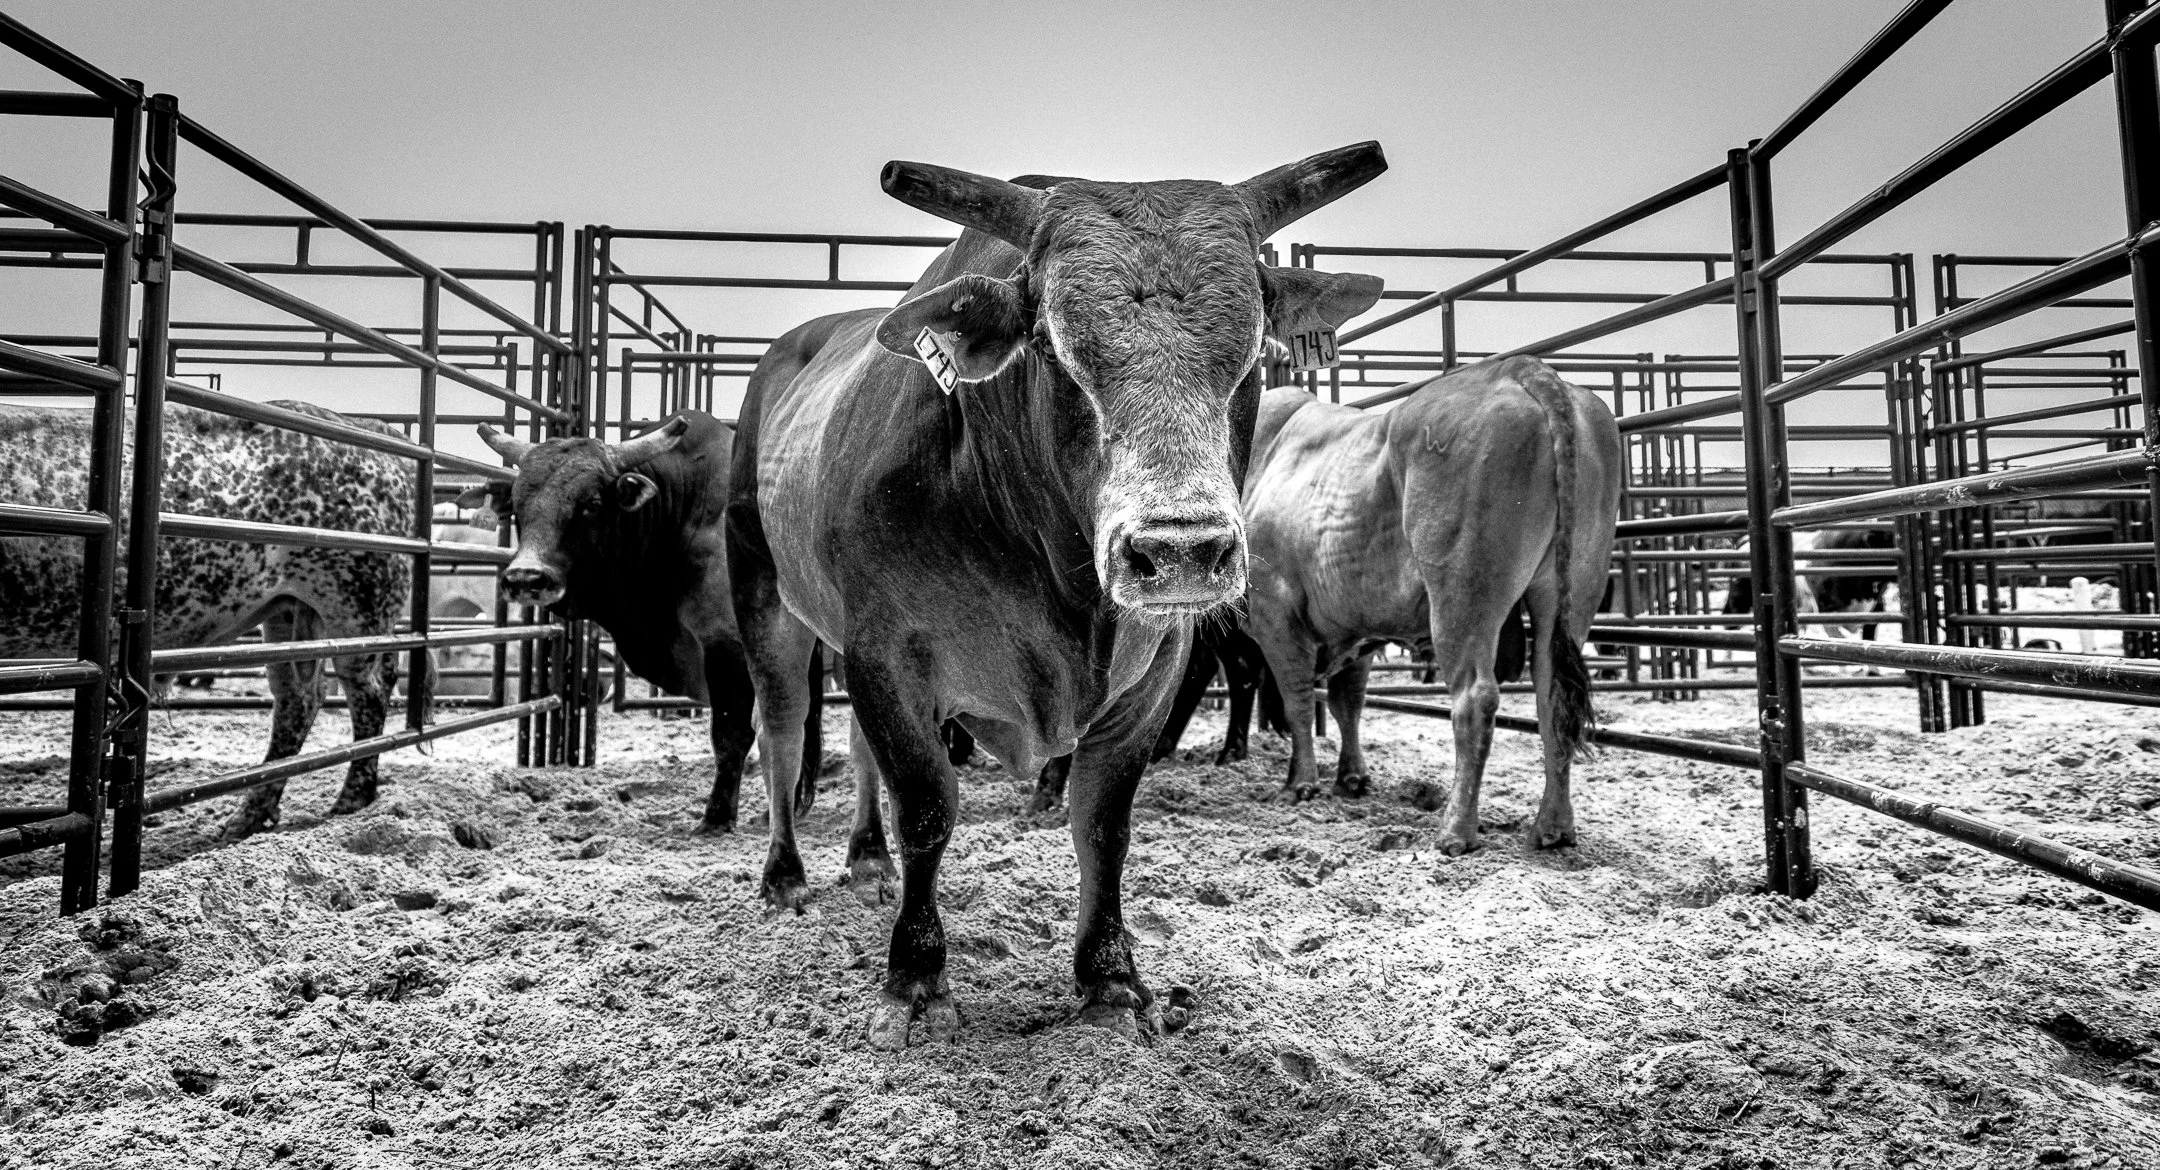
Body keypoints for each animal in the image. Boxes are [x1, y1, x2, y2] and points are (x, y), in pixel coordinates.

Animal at [0, 400, 418, 838]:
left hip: (357, 609)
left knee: (368, 691)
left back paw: (352, 798)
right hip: (287, 612)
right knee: (298, 698)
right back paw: (249, 814)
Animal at [454, 411, 824, 834]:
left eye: (593, 502)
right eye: (517, 503)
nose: (526, 578)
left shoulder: (727, 644)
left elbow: (732, 734)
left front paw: (716, 818)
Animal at [728, 145, 1387, 1048]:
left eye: (1256, 351)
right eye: (1052, 348)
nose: (1180, 552)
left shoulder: (1153, 671)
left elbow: (1103, 822)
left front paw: (1108, 974)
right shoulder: (887, 655)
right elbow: (927, 805)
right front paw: (916, 976)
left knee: (858, 755)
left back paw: (868, 861)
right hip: (765, 594)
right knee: (785, 728)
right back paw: (785, 875)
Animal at [1241, 356, 1624, 856]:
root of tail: (1522, 369)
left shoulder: (1275, 613)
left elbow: (1298, 702)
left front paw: (1300, 783)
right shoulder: (1357, 626)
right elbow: (1348, 703)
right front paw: (1351, 777)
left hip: (1462, 596)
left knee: (1474, 698)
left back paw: (1455, 830)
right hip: (1571, 592)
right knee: (1552, 700)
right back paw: (1552, 827)